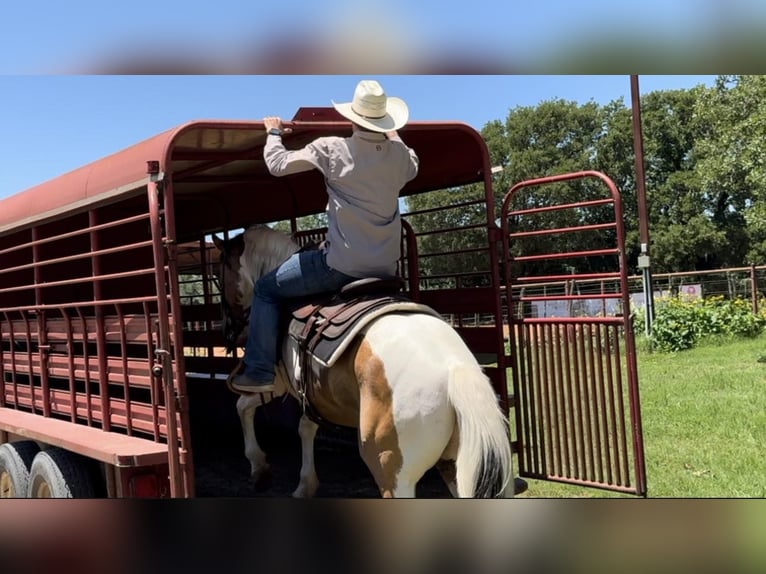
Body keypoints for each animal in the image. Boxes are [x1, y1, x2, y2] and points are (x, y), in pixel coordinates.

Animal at [213, 225, 516, 500]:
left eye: (218, 274)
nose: (227, 329)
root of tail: (455, 369)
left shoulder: (277, 382)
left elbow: (243, 407)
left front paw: (259, 468)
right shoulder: (308, 394)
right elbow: (305, 427)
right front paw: (305, 485)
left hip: (391, 471)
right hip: (456, 467)